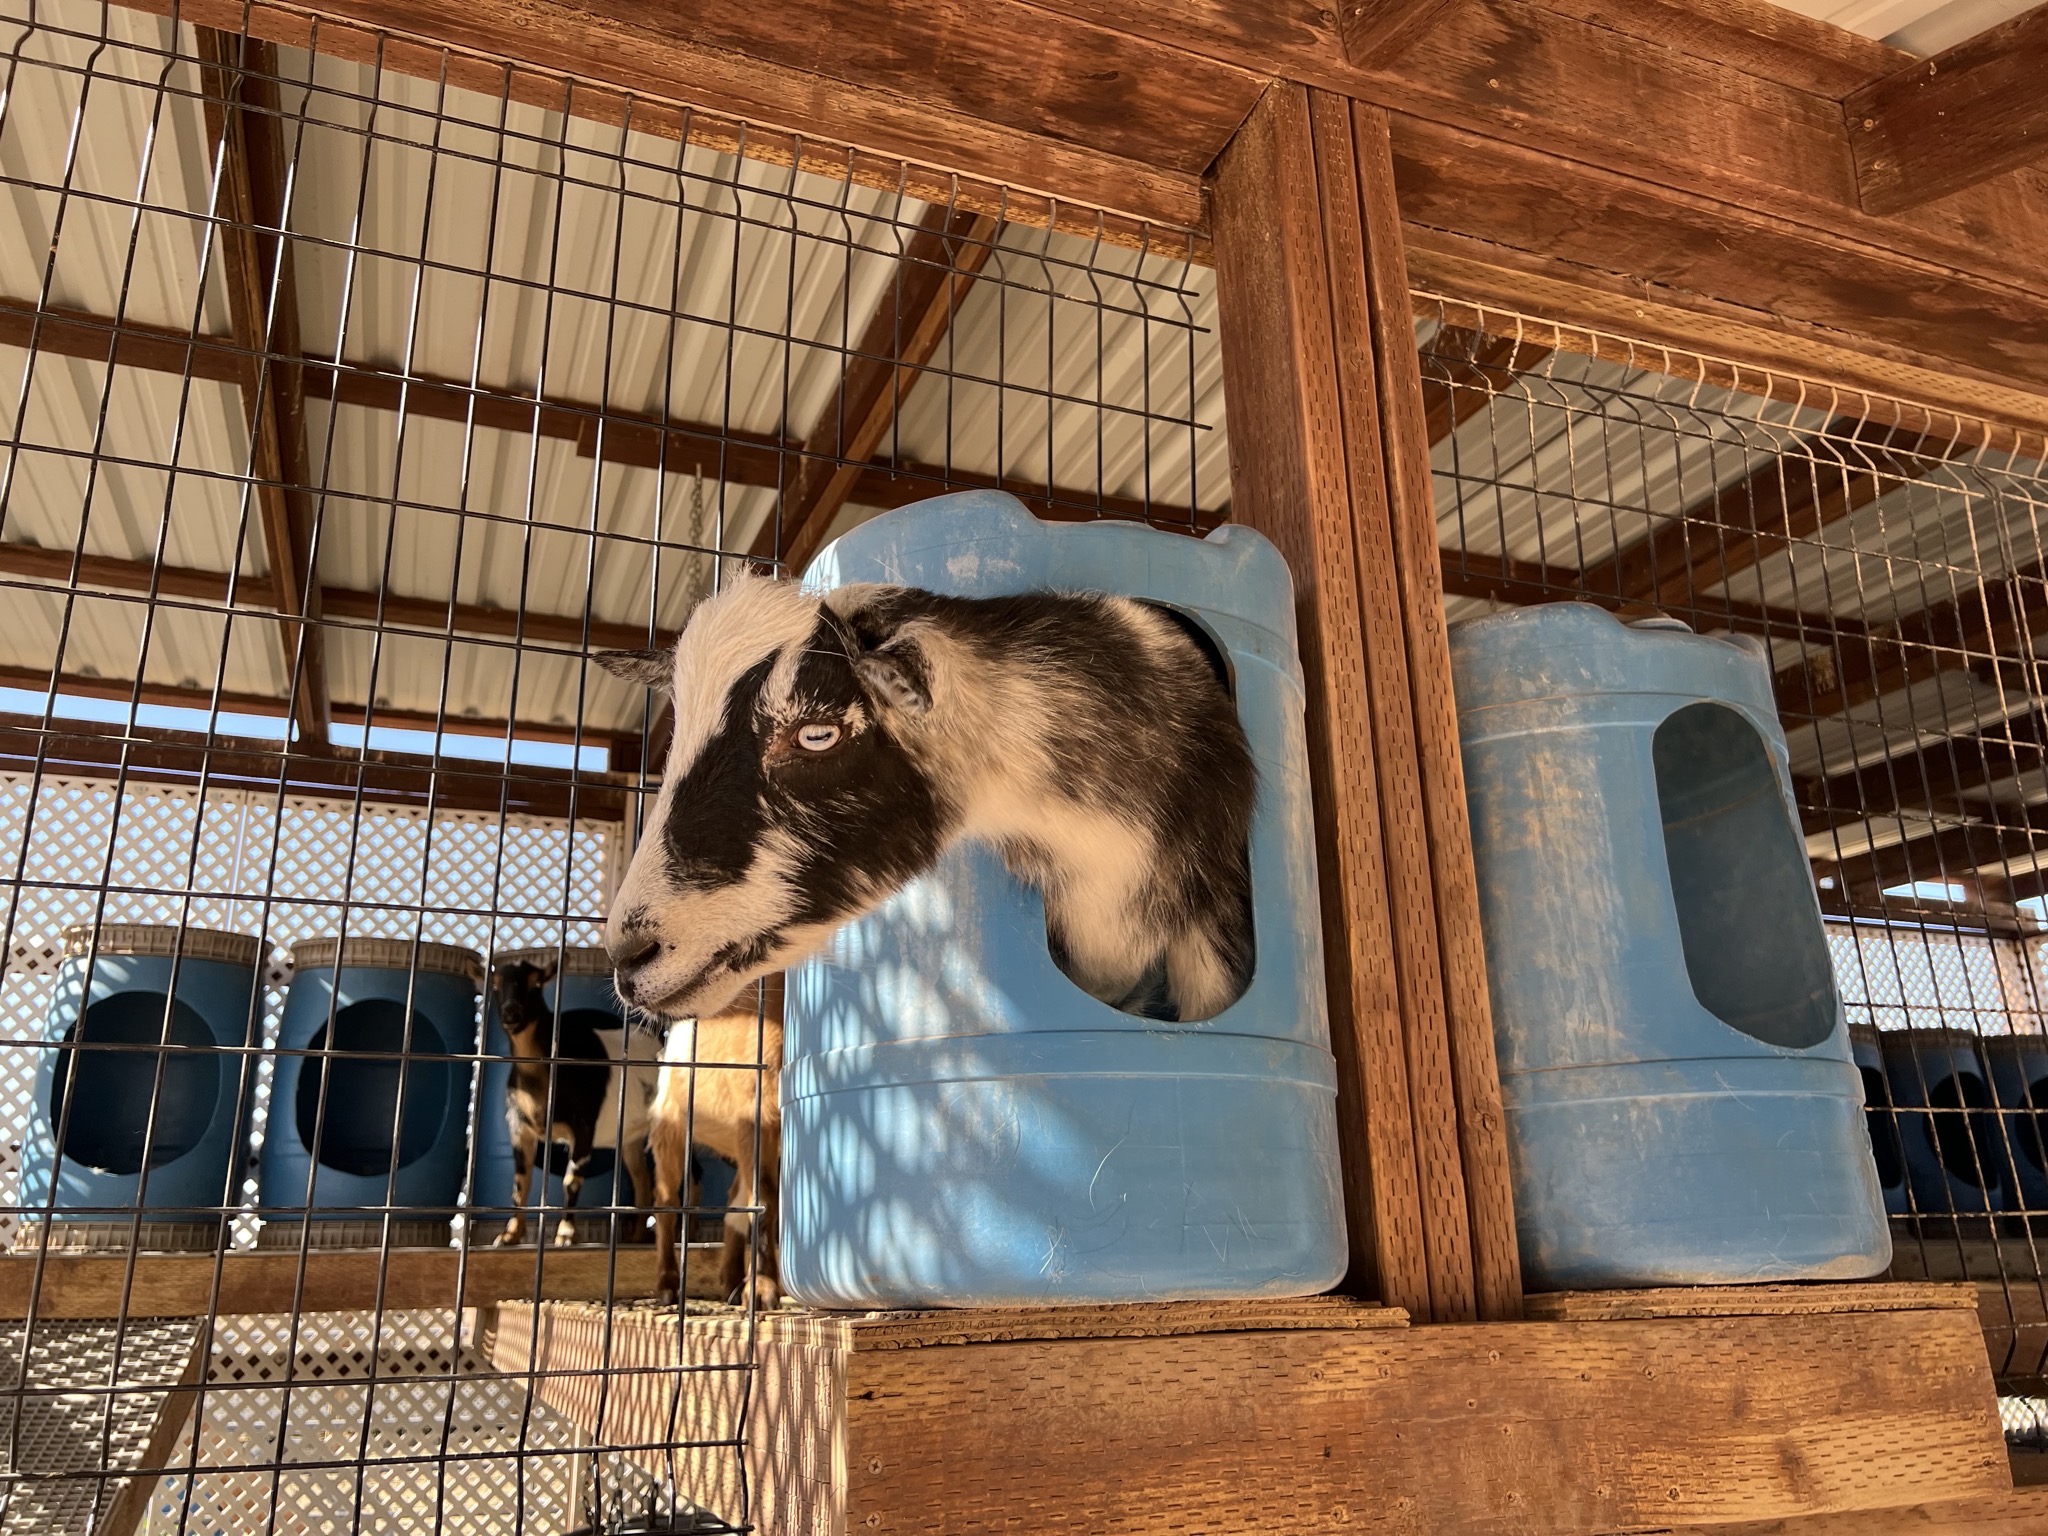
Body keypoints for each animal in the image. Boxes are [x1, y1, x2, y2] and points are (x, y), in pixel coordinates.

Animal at [488, 958, 659, 1248]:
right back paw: (637, 1236)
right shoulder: (519, 1127)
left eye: (536, 983)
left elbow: (571, 1180)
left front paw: (566, 1234)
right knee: (642, 1177)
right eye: (495, 985)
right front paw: (509, 1234)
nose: (511, 1013)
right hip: (631, 1136)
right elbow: (520, 1181)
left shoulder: (584, 1126)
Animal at [647, 1008, 782, 1305]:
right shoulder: (758, 1114)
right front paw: (763, 1288)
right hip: (669, 1119)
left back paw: (732, 1284)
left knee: (734, 1201)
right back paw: (667, 1285)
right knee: (666, 1200)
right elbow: (765, 1200)